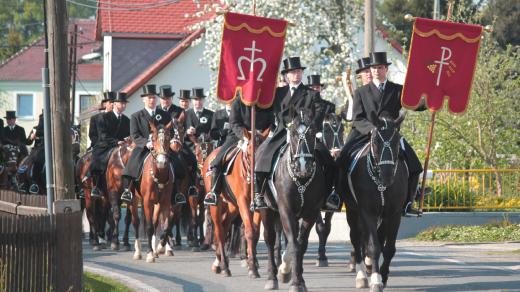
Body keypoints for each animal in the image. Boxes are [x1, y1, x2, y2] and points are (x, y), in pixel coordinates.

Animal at [127, 121, 176, 262]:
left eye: (168, 138)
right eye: (153, 139)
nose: (161, 162)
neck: (159, 173)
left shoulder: (165, 202)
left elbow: (165, 226)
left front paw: (160, 248)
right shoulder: (147, 201)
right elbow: (148, 227)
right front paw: (149, 254)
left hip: (157, 203)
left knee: (155, 223)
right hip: (133, 200)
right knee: (136, 222)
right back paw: (138, 252)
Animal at [202, 128, 270, 278]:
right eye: (250, 151)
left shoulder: (258, 206)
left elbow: (255, 233)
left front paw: (252, 263)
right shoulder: (243, 202)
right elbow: (249, 231)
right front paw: (253, 268)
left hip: (233, 206)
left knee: (225, 225)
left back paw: (219, 263)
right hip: (217, 205)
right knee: (219, 231)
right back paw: (224, 266)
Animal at [260, 109, 324, 292]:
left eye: (312, 133)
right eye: (294, 134)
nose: (303, 166)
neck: (301, 179)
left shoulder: (311, 213)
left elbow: (300, 245)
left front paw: (298, 279)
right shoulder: (285, 210)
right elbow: (294, 245)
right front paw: (294, 281)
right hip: (266, 210)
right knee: (269, 239)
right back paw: (272, 277)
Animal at [340, 111, 408, 290]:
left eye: (397, 141)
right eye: (376, 140)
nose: (387, 175)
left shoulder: (394, 214)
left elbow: (389, 248)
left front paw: (383, 276)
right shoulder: (367, 212)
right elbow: (373, 246)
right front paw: (376, 280)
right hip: (353, 211)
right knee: (356, 238)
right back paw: (362, 275)